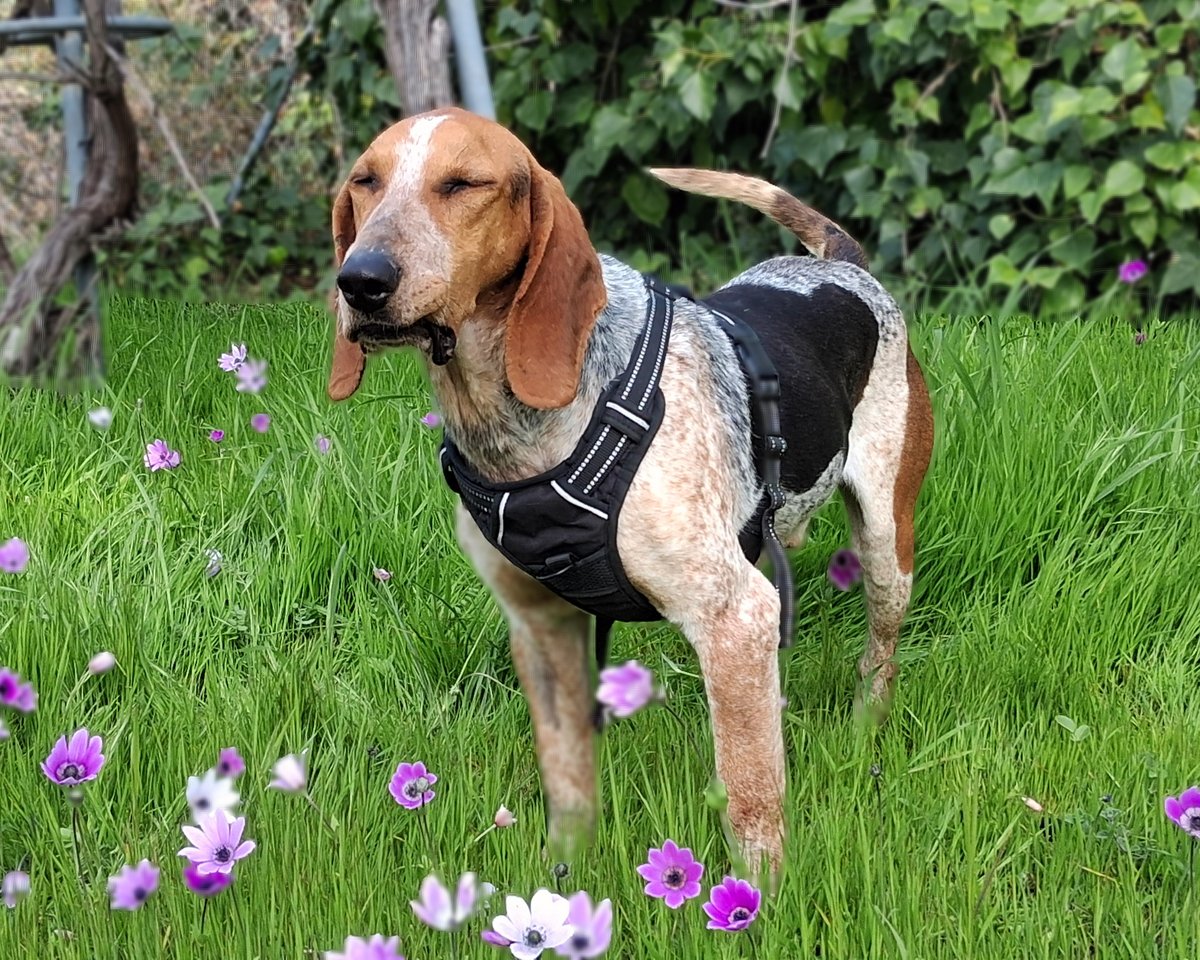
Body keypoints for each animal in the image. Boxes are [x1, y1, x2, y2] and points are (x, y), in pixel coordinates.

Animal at [325, 107, 934, 884]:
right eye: (364, 182)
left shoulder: (734, 617)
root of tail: (842, 265)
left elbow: (751, 796)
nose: (360, 280)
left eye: (463, 184)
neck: (519, 430)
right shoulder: (542, 628)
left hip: (886, 546)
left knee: (878, 652)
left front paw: (758, 897)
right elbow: (568, 781)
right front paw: (562, 883)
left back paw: (867, 722)